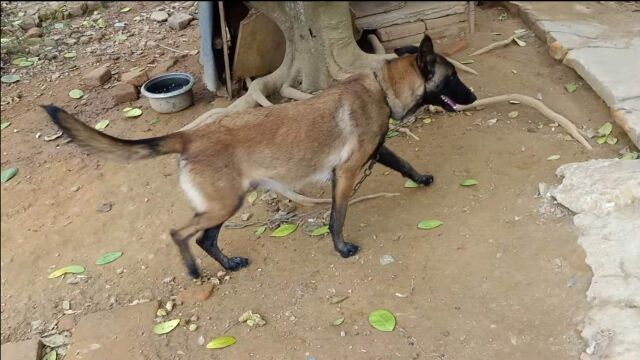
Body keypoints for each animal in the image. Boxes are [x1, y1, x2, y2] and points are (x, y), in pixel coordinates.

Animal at [42, 33, 478, 278]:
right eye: (453, 77)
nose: (473, 97)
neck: (381, 87)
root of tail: (189, 136)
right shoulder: (347, 172)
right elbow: (337, 216)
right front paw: (341, 249)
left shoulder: (375, 150)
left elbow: (403, 162)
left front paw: (420, 179)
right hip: (224, 204)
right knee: (181, 234)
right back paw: (193, 271)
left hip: (228, 202)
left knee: (206, 238)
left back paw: (228, 265)